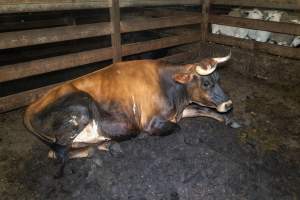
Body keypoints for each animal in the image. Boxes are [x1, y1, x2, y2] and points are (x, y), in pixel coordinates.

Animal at [24, 52, 237, 177]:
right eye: (206, 83)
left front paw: (229, 120)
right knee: (57, 153)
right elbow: (178, 128)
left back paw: (110, 146)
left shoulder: (180, 110)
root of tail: (32, 105)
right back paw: (104, 149)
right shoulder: (152, 122)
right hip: (80, 110)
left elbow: (204, 110)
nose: (228, 104)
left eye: (219, 78)